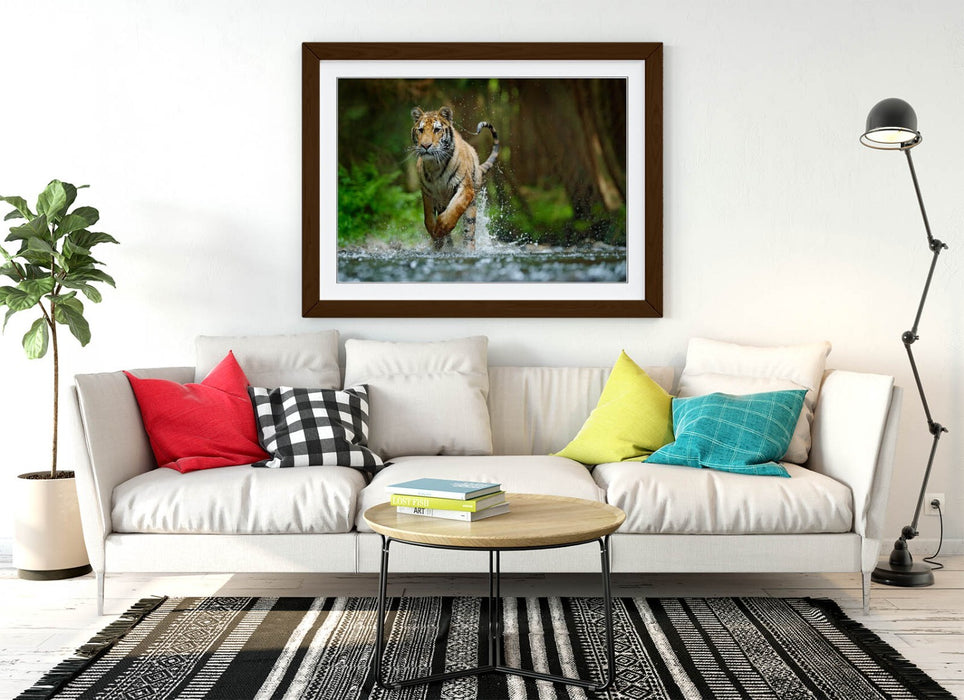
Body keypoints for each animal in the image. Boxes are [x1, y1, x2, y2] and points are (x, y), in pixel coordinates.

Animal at [411, 106, 499, 250]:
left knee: (469, 232)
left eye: (436, 129)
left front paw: (441, 228)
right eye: (421, 130)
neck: (435, 165)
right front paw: (436, 236)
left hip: (471, 206)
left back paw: (467, 249)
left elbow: (454, 210)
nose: (425, 146)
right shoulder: (427, 193)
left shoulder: (465, 188)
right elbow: (428, 218)